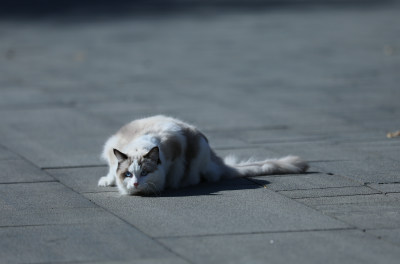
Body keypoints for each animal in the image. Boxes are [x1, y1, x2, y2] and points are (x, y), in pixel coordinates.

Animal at [97, 114, 310, 195]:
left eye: (144, 174)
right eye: (128, 174)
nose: (135, 184)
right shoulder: (112, 149)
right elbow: (111, 170)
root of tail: (214, 159)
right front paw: (108, 181)